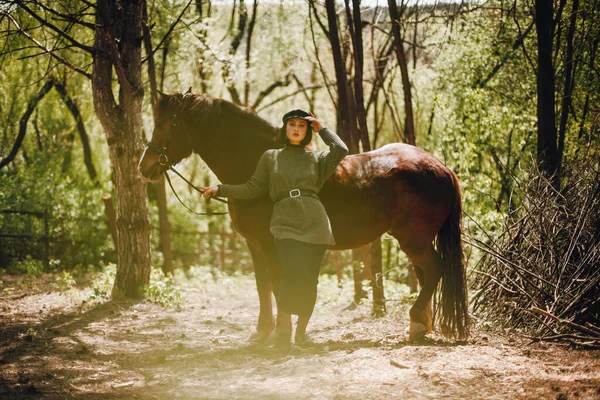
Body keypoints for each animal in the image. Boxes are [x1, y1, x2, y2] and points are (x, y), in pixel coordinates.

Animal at [138, 91, 472, 340]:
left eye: (162, 123)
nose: (144, 167)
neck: (256, 164)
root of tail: (442, 168)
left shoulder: (270, 244)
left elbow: (277, 283)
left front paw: (279, 332)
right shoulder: (254, 245)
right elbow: (263, 286)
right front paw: (262, 332)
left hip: (413, 241)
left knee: (435, 269)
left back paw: (415, 322)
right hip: (416, 242)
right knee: (427, 274)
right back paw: (421, 324)